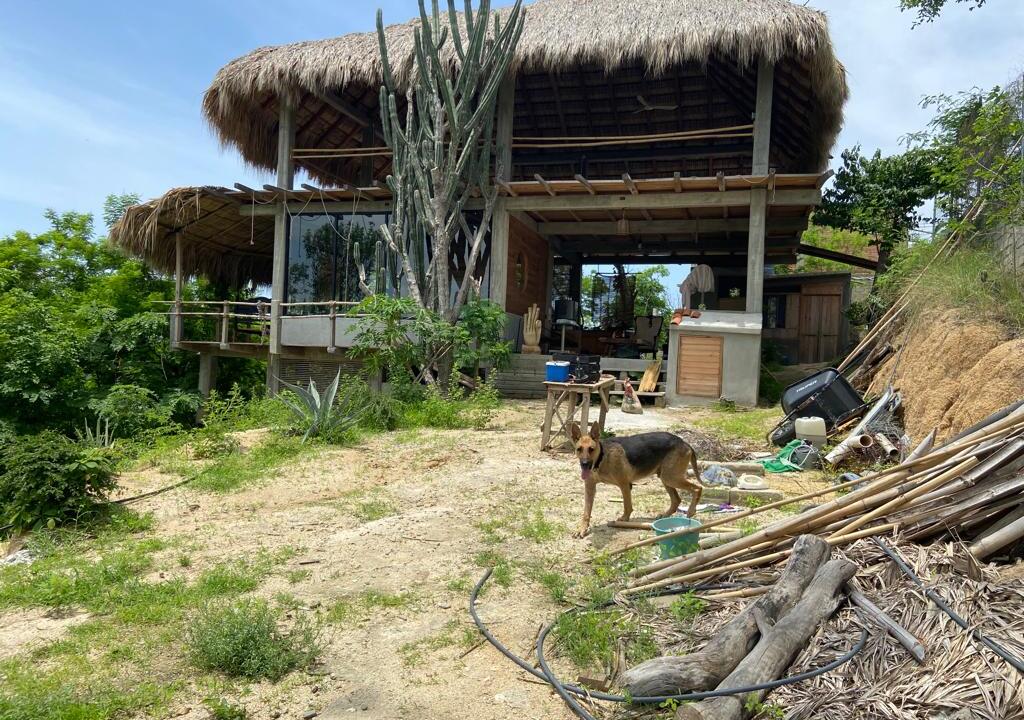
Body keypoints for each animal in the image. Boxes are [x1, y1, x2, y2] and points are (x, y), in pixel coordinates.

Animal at [570, 423, 702, 538]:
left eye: (591, 449)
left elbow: (627, 505)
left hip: (670, 478)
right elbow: (586, 513)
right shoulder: (590, 488)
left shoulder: (624, 485)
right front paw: (582, 529)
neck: (601, 458)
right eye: (579, 449)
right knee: (676, 500)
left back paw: (691, 511)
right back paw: (665, 515)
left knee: (698, 488)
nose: (584, 464)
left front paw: (624, 519)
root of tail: (684, 442)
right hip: (666, 478)